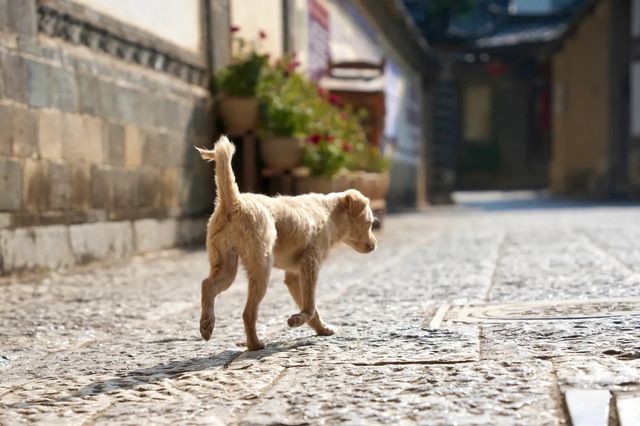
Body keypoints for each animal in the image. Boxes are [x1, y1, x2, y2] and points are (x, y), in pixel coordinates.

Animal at [195, 136, 376, 350]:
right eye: (370, 223)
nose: (374, 245)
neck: (330, 212)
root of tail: (235, 203)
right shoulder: (310, 264)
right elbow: (310, 306)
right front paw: (296, 320)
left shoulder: (294, 275)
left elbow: (311, 308)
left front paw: (322, 329)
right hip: (262, 267)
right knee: (248, 313)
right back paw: (255, 344)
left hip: (226, 265)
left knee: (208, 285)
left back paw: (207, 325)